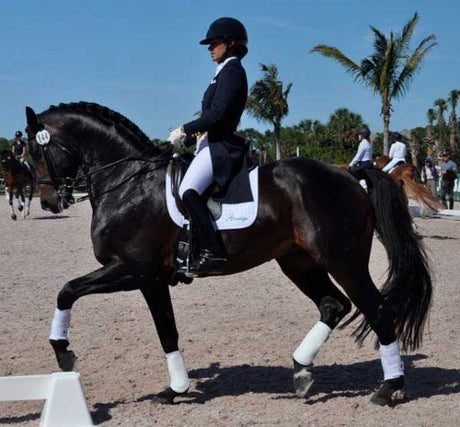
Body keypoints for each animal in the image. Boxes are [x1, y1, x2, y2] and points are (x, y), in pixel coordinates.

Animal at [27, 103, 434, 408]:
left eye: (36, 150)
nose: (49, 202)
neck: (128, 183)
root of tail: (351, 176)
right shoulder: (129, 272)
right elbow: (67, 291)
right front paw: (64, 354)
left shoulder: (142, 273)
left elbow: (164, 330)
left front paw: (174, 389)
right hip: (297, 261)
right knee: (334, 305)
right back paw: (301, 371)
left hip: (344, 261)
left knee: (376, 309)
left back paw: (388, 388)